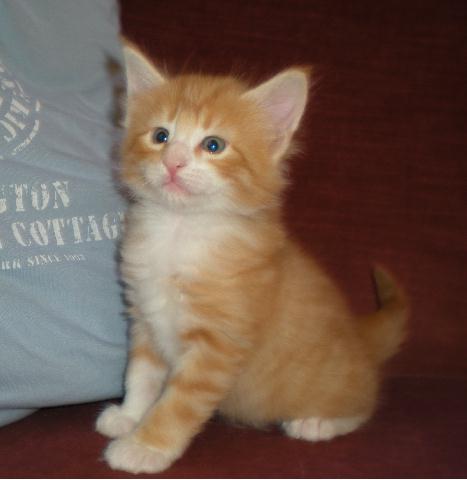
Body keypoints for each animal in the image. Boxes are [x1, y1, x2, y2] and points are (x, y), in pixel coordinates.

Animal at [95, 40, 409, 474]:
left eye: (213, 145)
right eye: (160, 135)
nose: (173, 161)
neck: (180, 230)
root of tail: (360, 340)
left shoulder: (218, 346)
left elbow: (177, 404)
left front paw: (145, 446)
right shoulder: (144, 317)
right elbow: (140, 375)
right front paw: (130, 415)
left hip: (334, 385)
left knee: (364, 404)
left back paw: (318, 422)